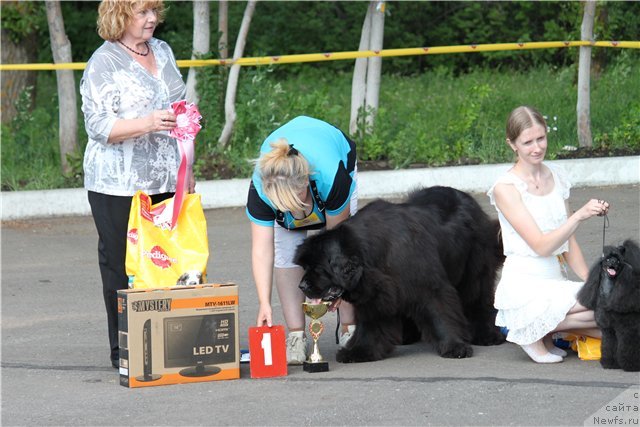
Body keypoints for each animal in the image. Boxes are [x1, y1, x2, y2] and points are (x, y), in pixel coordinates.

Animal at [298, 186, 508, 362]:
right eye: (305, 266)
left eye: (317, 268)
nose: (302, 285)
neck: (371, 255)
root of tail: (468, 198)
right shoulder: (375, 295)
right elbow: (369, 325)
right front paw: (360, 351)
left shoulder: (430, 286)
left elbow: (441, 314)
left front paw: (454, 347)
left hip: (475, 271)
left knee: (478, 300)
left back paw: (487, 335)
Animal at [576, 241, 636, 372]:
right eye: (607, 259)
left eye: (618, 260)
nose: (612, 262)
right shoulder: (608, 330)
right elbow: (609, 345)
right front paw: (610, 363)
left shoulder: (627, 329)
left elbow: (628, 347)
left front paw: (631, 366)